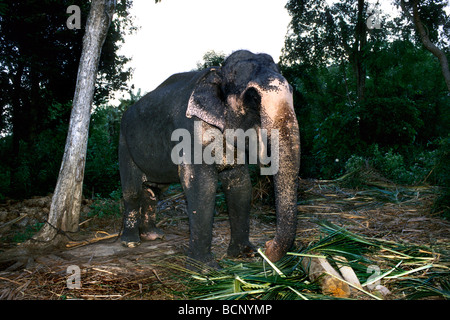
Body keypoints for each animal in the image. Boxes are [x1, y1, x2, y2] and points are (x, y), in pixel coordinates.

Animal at [119, 49, 300, 264]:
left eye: (292, 89)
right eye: (253, 98)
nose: (267, 245)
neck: (218, 72)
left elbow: (240, 185)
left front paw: (244, 254)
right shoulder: (190, 132)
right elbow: (201, 185)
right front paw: (204, 266)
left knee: (153, 190)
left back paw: (153, 236)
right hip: (124, 144)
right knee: (132, 191)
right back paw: (131, 242)